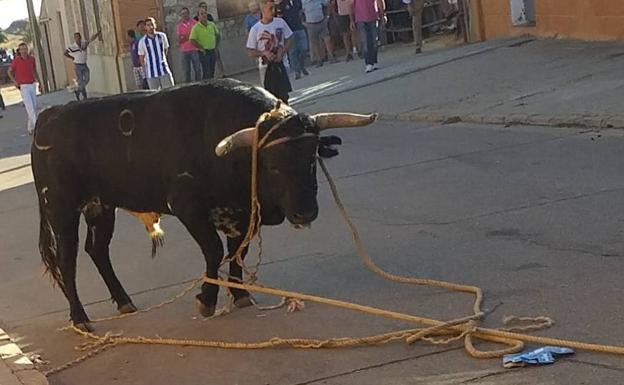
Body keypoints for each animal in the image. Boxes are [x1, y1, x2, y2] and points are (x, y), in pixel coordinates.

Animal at [31, 79, 376, 328]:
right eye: (273, 165)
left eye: (312, 158)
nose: (305, 212)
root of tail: (50, 115)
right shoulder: (188, 206)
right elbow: (213, 250)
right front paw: (207, 300)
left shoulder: (242, 214)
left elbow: (237, 252)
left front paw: (240, 294)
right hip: (60, 206)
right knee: (68, 259)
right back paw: (80, 318)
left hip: (101, 207)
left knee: (98, 250)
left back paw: (124, 301)